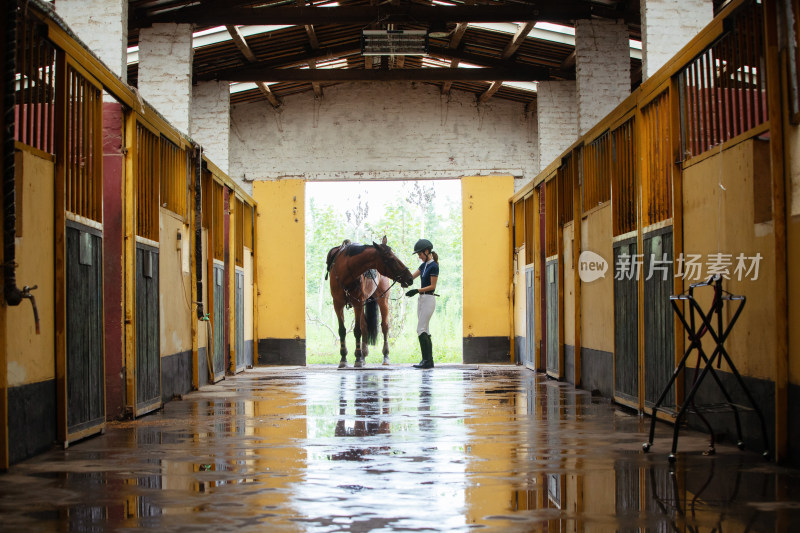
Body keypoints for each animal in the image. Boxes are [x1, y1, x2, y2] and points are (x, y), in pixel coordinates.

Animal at [324, 236, 412, 366]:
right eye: (391, 258)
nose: (410, 278)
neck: (346, 272)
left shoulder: (358, 304)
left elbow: (357, 330)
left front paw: (356, 358)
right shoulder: (338, 304)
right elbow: (342, 331)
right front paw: (344, 358)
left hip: (382, 299)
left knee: (384, 326)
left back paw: (385, 355)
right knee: (365, 326)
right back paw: (363, 355)